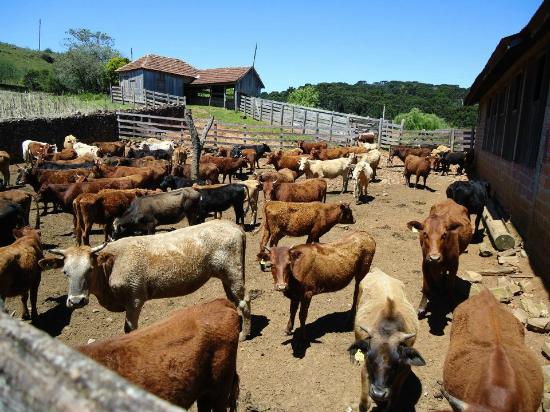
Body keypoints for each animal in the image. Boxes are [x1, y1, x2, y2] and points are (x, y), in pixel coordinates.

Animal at [38, 220, 252, 340]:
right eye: (65, 272)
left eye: (90, 270)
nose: (76, 301)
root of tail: (234, 226)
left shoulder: (134, 299)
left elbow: (130, 329)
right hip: (226, 276)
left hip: (233, 272)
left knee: (244, 301)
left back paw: (243, 334)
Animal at [350, 268, 426, 410]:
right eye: (370, 359)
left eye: (396, 363)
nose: (378, 394)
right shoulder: (365, 371)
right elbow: (364, 403)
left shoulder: (403, 372)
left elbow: (393, 399)